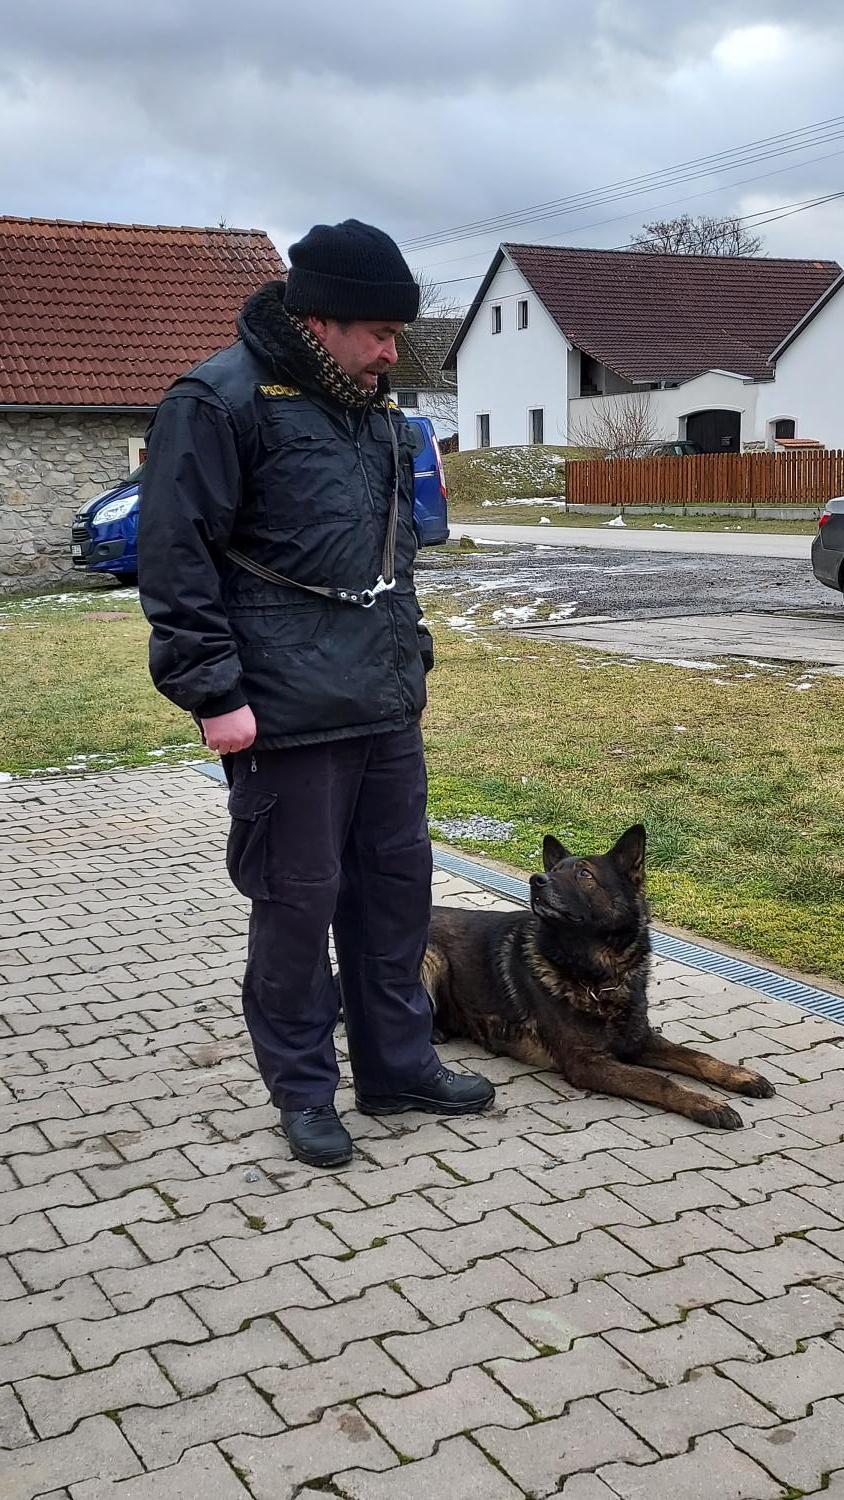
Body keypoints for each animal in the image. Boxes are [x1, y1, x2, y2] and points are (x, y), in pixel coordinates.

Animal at [423, 824, 774, 1129]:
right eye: (554, 870)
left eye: (584, 874)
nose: (537, 880)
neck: (601, 975)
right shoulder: (589, 1063)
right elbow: (658, 1081)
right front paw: (706, 1104)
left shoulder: (639, 1040)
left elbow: (699, 1056)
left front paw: (740, 1076)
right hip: (432, 957)